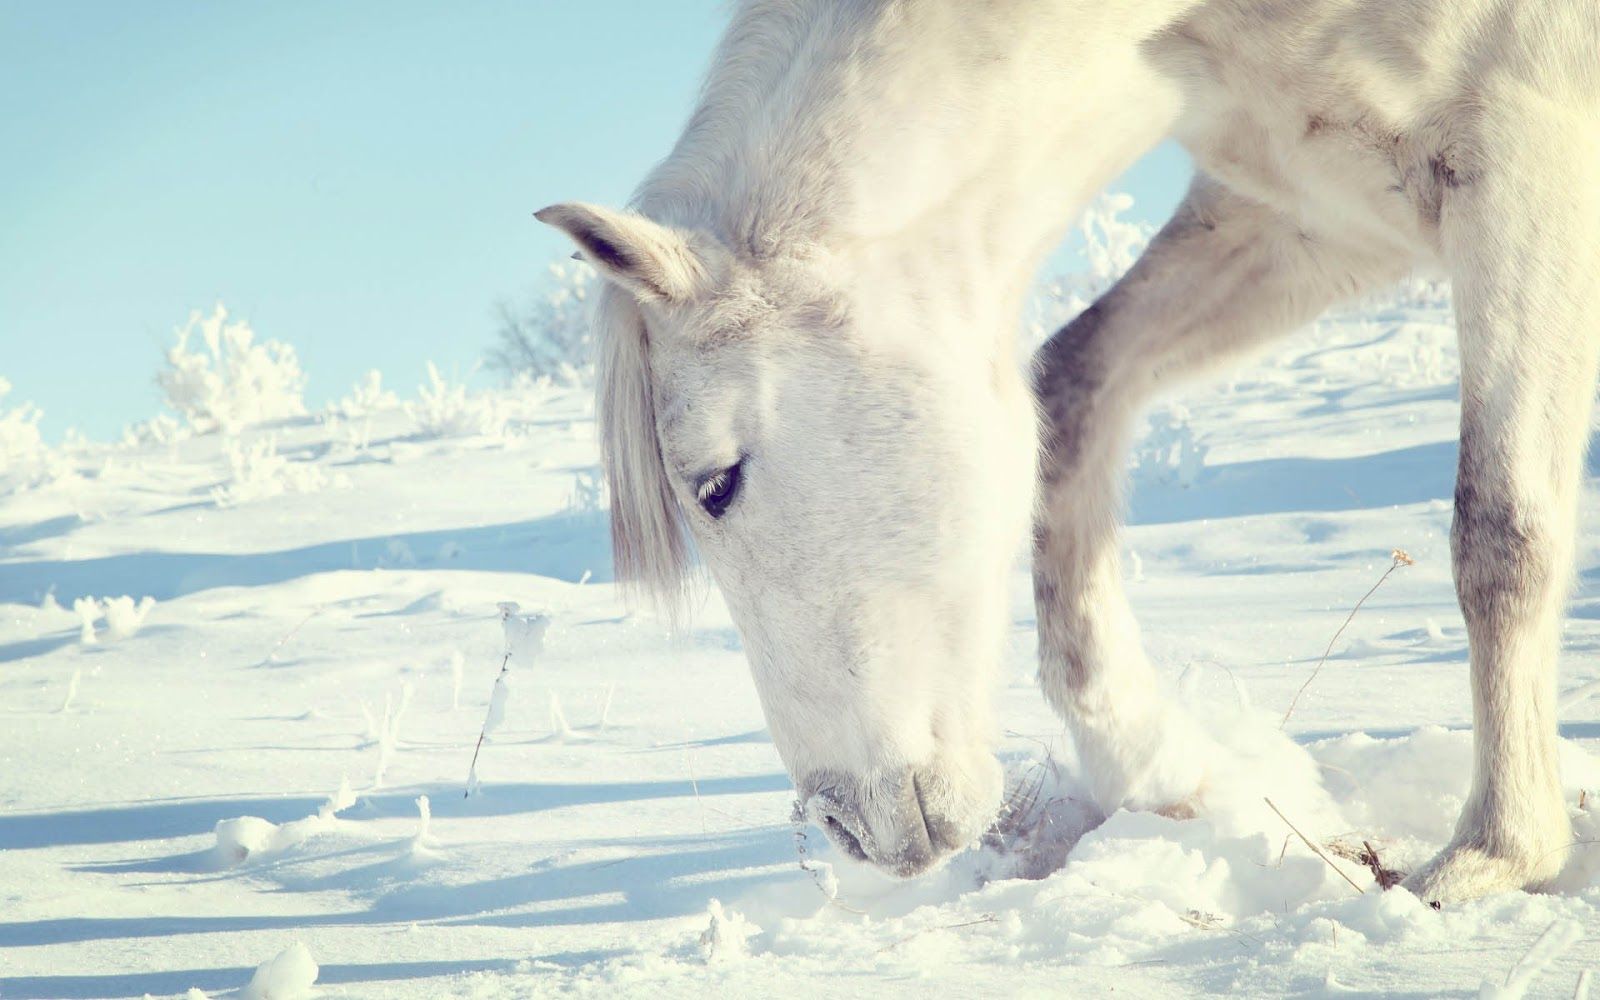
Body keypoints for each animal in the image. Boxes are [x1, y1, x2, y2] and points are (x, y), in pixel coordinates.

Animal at [538, 0, 1600, 904]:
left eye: (717, 484)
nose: (848, 829)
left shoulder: (1527, 158)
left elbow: (1502, 531)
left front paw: (1494, 855)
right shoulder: (1315, 212)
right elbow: (1072, 386)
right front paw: (1159, 768)